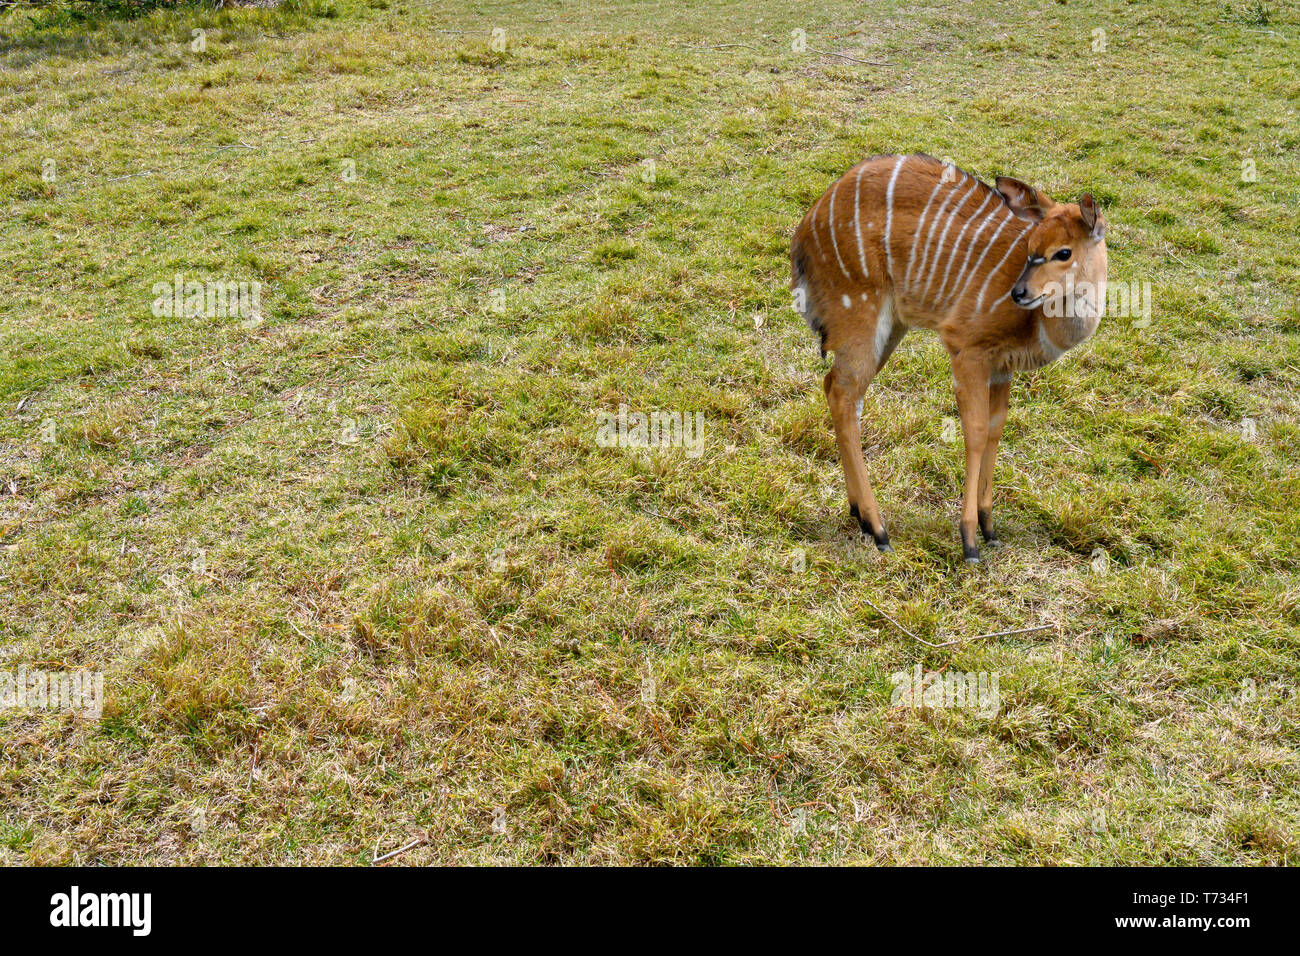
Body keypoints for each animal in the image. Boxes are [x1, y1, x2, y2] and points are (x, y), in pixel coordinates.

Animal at [790, 153, 1107, 564]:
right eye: (1031, 246)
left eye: (1064, 252)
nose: (1019, 292)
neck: (1039, 322)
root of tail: (806, 229)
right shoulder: (967, 348)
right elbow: (974, 431)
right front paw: (969, 541)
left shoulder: (1001, 368)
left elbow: (996, 429)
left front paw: (990, 528)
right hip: (861, 313)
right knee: (844, 395)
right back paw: (878, 528)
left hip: (890, 327)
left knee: (837, 388)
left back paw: (858, 513)